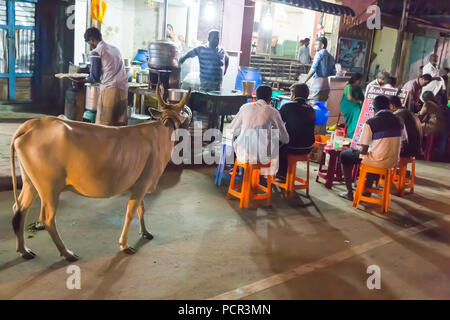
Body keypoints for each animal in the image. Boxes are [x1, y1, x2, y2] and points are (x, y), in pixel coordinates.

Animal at [10, 86, 190, 262]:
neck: (162, 131)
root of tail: (32, 124)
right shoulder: (142, 184)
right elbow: (131, 213)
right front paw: (124, 245)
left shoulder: (140, 185)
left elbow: (141, 209)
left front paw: (145, 232)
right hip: (49, 188)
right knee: (47, 219)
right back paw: (67, 253)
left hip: (30, 183)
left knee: (20, 209)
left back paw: (24, 250)